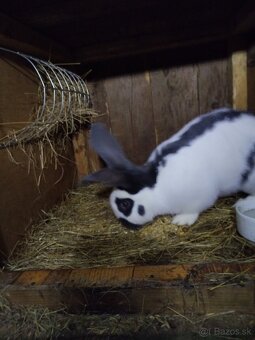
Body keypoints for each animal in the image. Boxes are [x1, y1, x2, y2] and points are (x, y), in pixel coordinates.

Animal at [80, 107, 255, 230]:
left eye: (125, 205)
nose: (125, 224)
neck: (157, 188)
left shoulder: (202, 195)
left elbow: (194, 209)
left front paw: (181, 220)